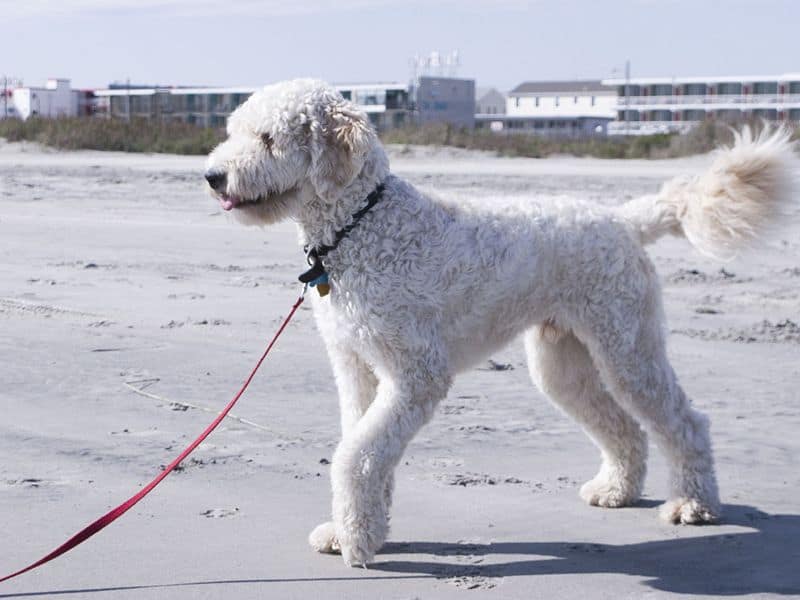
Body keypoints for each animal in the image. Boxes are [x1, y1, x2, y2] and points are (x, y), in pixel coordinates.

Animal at [205, 79, 792, 568]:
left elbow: (357, 456)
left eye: (268, 139)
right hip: (563, 362)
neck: (362, 224)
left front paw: (358, 540)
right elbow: (365, 447)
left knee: (685, 420)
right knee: (622, 428)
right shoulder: (357, 368)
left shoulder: (416, 374)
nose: (212, 176)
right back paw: (616, 491)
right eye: (234, 131)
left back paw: (694, 504)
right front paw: (359, 529)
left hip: (628, 348)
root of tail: (624, 219)